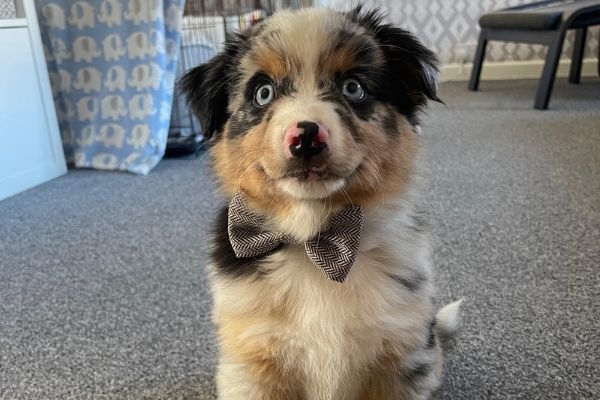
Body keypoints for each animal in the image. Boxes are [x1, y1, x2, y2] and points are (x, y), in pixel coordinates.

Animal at [180, 6, 462, 400]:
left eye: (353, 87)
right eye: (263, 92)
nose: (306, 138)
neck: (313, 240)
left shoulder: (399, 354)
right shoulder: (252, 360)